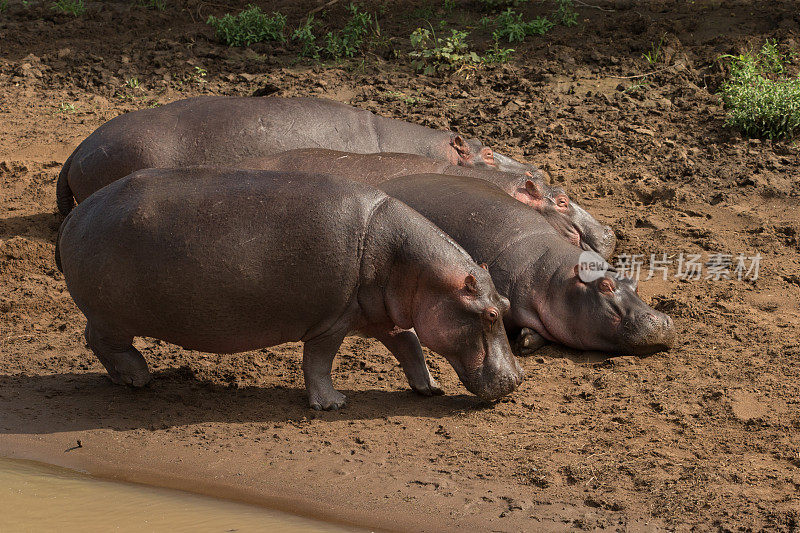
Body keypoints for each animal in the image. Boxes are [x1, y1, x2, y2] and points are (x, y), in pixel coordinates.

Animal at [56, 168, 524, 410]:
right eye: (490, 315)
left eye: (504, 302)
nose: (519, 379)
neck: (415, 269)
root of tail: (74, 218)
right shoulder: (332, 321)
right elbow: (319, 361)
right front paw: (333, 404)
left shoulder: (382, 316)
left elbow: (409, 345)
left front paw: (429, 388)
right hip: (112, 316)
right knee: (101, 340)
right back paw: (138, 378)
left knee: (94, 340)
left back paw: (125, 379)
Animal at [382, 176, 676, 358]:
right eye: (605, 286)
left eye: (634, 282)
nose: (661, 321)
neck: (557, 279)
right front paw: (524, 341)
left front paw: (526, 339)